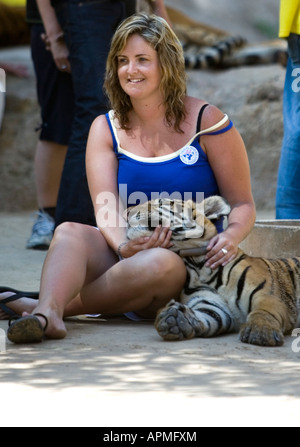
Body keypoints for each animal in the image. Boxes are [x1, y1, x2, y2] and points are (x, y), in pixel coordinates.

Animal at [126, 198, 300, 348]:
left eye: (161, 202)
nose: (126, 212)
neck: (196, 264)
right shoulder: (212, 304)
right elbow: (207, 316)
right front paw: (175, 319)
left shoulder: (268, 294)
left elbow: (264, 312)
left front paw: (260, 332)